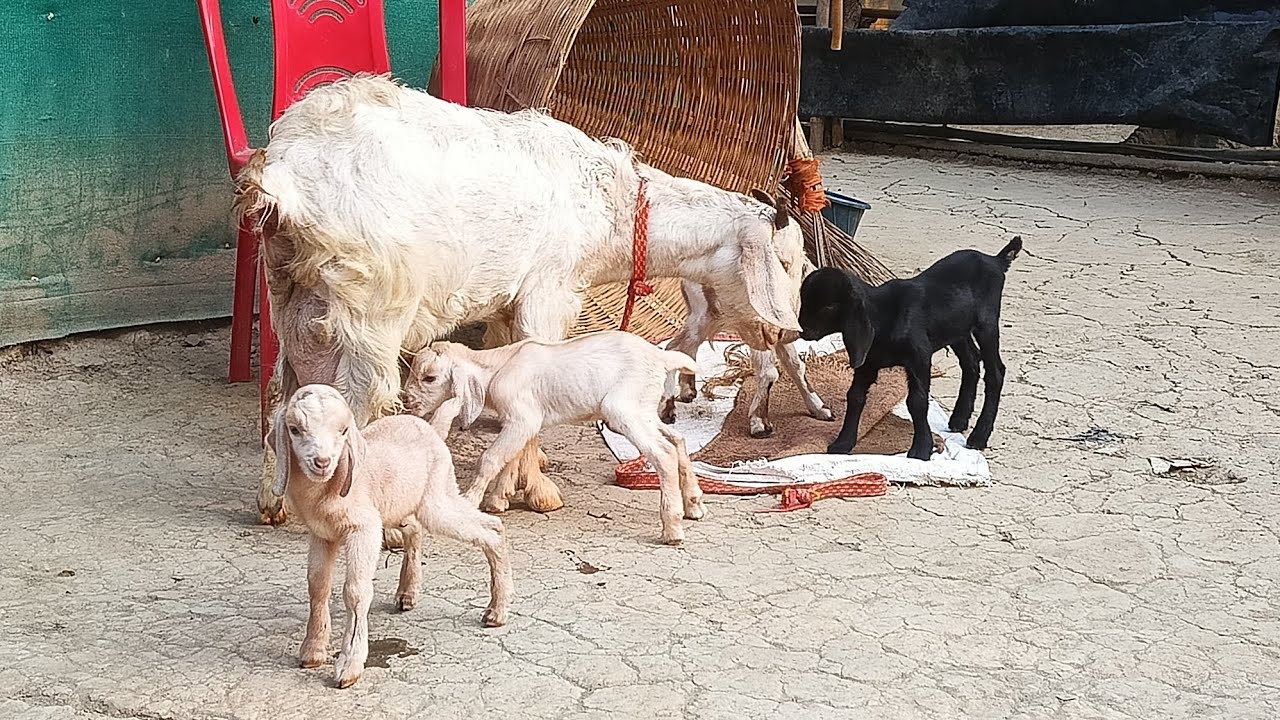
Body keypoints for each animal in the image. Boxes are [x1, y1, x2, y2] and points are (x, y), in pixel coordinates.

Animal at [268, 384, 513, 689]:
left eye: (343, 430)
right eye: (294, 429)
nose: (322, 462)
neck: (325, 491)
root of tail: (432, 428)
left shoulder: (365, 528)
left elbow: (355, 591)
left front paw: (349, 665)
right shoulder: (322, 533)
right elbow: (318, 586)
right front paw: (312, 650)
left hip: (437, 498)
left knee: (491, 527)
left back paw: (497, 611)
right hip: (400, 503)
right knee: (415, 529)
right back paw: (407, 593)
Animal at [402, 332, 705, 545]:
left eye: (430, 378)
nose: (407, 401)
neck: (497, 367)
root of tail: (661, 358)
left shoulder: (522, 419)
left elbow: (491, 458)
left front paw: (470, 502)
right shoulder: (521, 422)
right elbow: (512, 458)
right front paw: (498, 499)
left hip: (623, 410)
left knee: (663, 453)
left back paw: (672, 529)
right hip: (643, 410)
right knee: (678, 440)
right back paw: (693, 505)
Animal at [660, 203, 832, 436]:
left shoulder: (780, 335)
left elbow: (796, 367)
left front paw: (819, 409)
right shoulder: (757, 329)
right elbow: (769, 372)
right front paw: (760, 423)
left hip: (709, 318)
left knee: (684, 346)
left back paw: (687, 391)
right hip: (704, 315)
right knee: (674, 346)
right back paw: (667, 410)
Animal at [797, 237, 1022, 460]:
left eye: (828, 306)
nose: (801, 330)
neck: (884, 314)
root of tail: (996, 261)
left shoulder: (919, 357)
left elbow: (917, 401)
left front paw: (921, 448)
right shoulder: (867, 362)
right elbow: (855, 396)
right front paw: (843, 443)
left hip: (986, 324)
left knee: (995, 372)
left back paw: (979, 436)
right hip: (957, 329)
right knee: (971, 361)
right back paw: (959, 419)